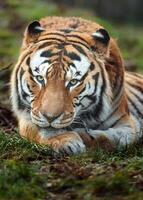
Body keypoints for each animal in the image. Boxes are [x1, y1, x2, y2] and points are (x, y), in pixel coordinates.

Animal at [10, 16, 143, 155]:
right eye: (40, 78)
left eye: (73, 82)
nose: (50, 118)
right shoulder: (27, 117)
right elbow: (41, 131)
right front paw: (67, 141)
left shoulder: (127, 123)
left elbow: (112, 138)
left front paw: (81, 134)